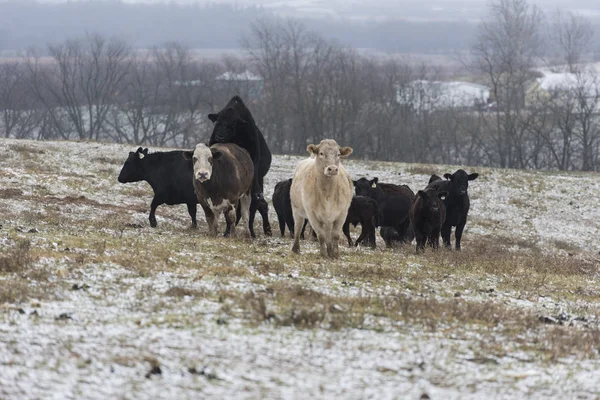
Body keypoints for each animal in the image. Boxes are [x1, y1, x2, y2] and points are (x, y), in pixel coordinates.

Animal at [207, 95, 270, 236]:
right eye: (218, 122)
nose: (219, 136)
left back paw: (256, 231)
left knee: (255, 207)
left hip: (257, 182)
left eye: (232, 125)